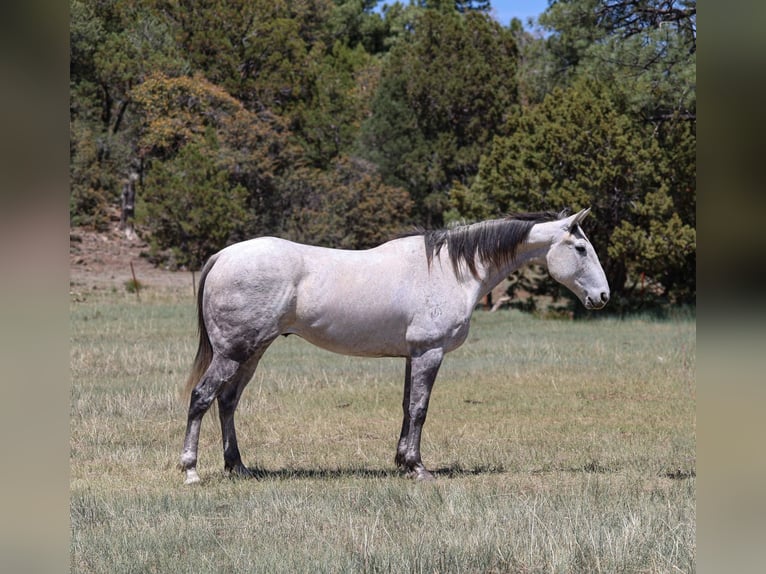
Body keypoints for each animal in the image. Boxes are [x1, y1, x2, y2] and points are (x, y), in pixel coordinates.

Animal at [179, 208, 609, 484]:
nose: (602, 296)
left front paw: (402, 462)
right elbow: (419, 409)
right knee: (202, 397)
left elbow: (406, 407)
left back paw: (238, 467)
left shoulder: (412, 355)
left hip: (253, 352)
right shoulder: (429, 352)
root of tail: (223, 256)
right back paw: (191, 469)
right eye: (581, 248)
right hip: (233, 352)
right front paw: (419, 468)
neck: (450, 270)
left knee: (227, 401)